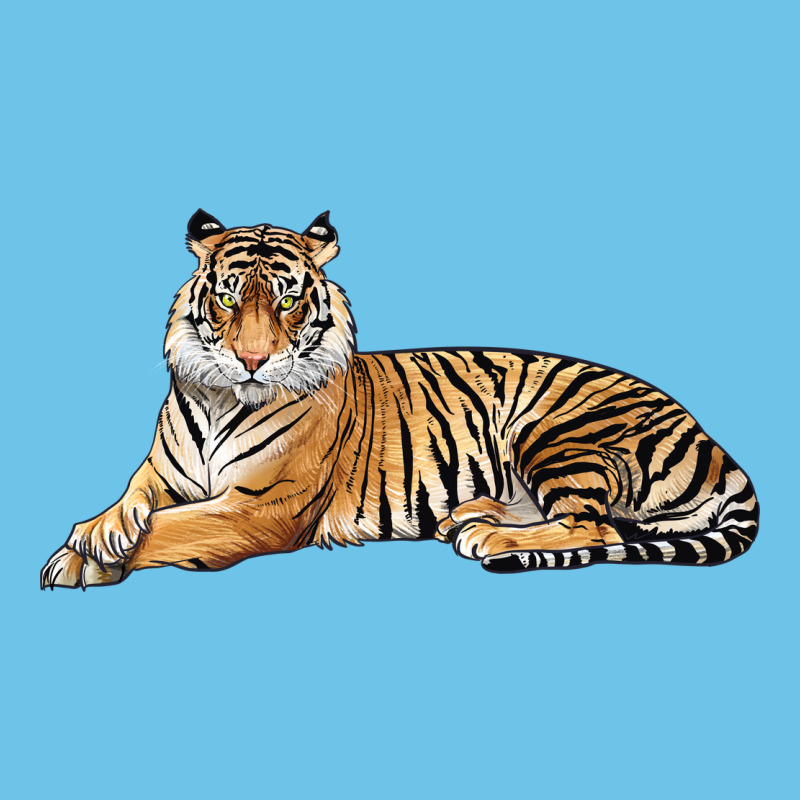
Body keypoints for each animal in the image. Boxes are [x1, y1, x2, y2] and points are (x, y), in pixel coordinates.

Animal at [41, 209, 759, 589]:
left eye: (287, 299)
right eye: (226, 298)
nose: (252, 360)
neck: (220, 400)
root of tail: (712, 440)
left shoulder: (260, 508)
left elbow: (173, 527)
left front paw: (84, 559)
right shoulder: (161, 474)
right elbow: (132, 502)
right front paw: (94, 536)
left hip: (555, 431)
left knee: (595, 524)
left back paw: (486, 538)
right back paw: (467, 517)